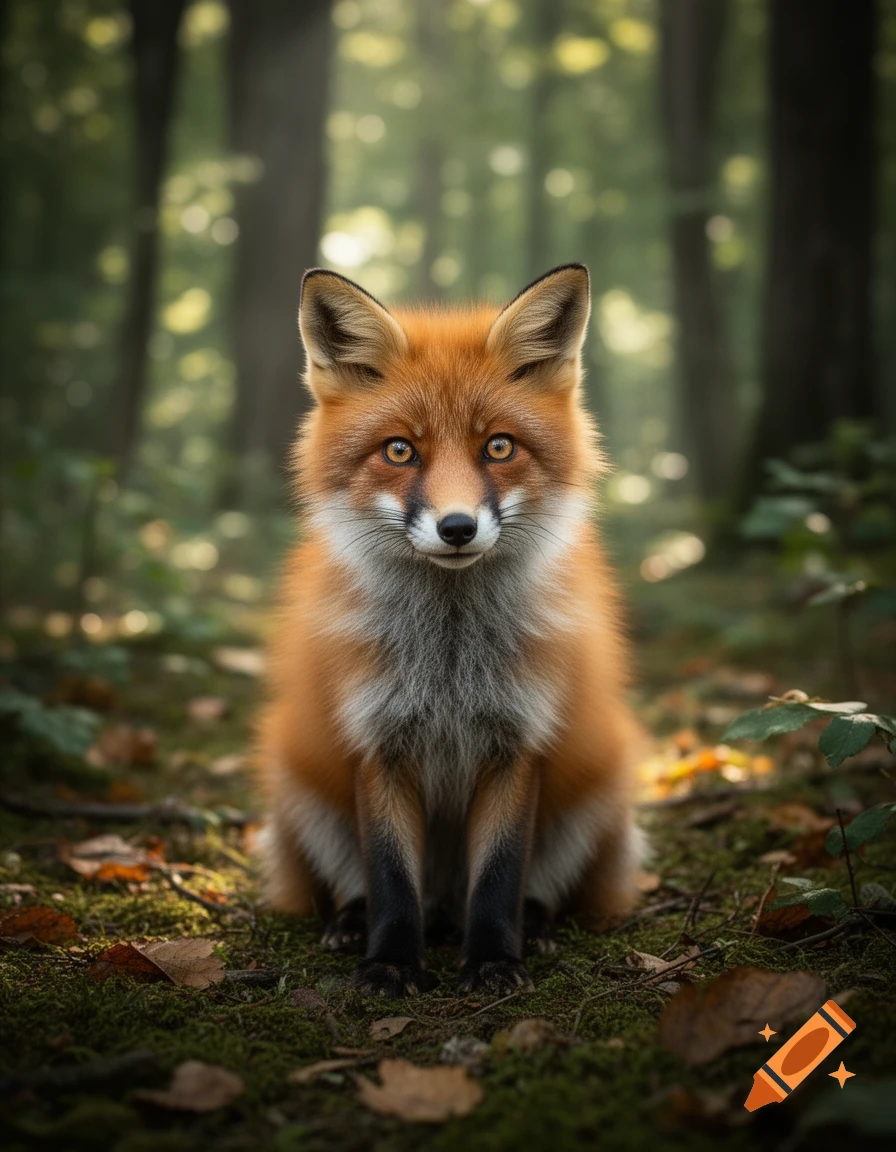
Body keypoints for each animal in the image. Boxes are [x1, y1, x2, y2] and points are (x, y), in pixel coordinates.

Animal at [257, 263, 644, 998]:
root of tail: (443, 908)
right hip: (297, 782)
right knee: (361, 887)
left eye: (498, 446)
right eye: (400, 450)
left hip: (601, 784)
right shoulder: (377, 743)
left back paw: (534, 927)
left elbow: (498, 877)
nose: (457, 527)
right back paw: (351, 924)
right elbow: (389, 879)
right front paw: (388, 964)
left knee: (538, 890)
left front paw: (494, 959)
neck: (449, 662)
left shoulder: (518, 744)